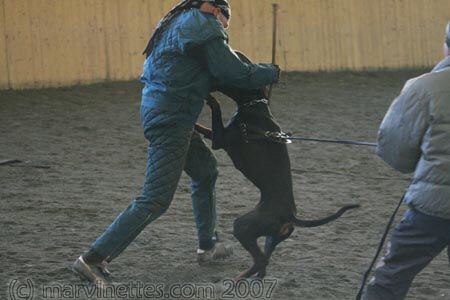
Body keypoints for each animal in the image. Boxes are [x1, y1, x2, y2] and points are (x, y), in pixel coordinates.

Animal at [195, 52, 360, 278]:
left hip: (244, 226)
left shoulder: (221, 140)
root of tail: (290, 216)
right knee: (264, 263)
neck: (255, 105)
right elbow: (204, 127)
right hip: (271, 238)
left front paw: (209, 100)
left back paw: (239, 278)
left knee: (260, 260)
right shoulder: (219, 135)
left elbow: (216, 110)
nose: (211, 79)